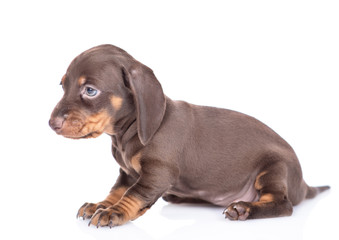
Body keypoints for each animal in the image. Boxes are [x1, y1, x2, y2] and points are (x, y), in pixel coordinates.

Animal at [49, 44, 330, 227]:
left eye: (90, 90)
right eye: (63, 85)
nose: (51, 124)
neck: (125, 134)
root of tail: (303, 185)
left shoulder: (157, 173)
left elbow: (133, 195)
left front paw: (114, 212)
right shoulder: (127, 172)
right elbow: (117, 190)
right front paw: (101, 204)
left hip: (274, 168)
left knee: (283, 204)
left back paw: (244, 209)